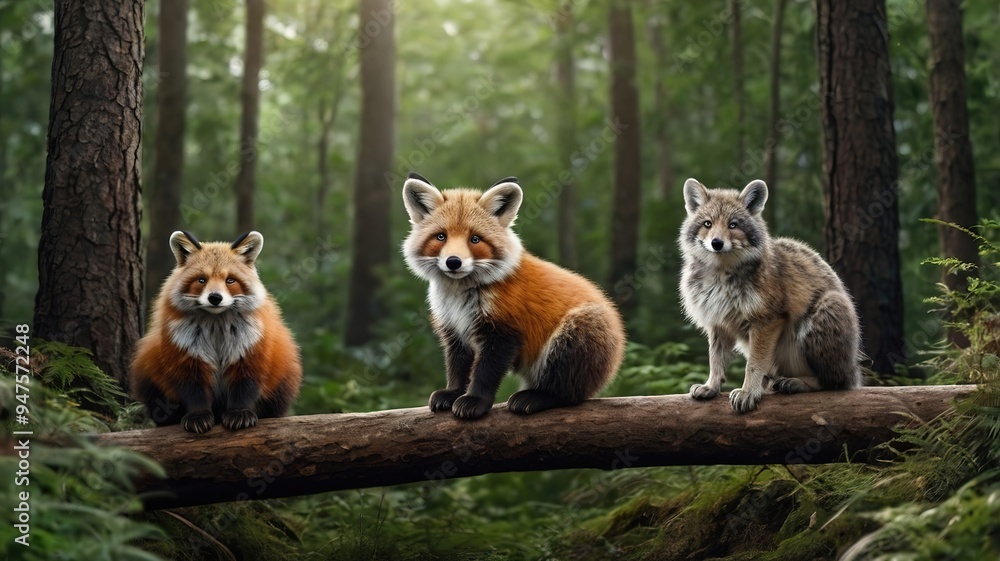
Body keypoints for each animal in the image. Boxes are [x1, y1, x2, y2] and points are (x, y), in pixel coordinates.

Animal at [129, 230, 302, 433]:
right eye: (202, 280)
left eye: (230, 280)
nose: (215, 298)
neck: (216, 330)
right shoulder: (187, 358)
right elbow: (195, 394)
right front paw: (198, 416)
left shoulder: (248, 355)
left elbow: (244, 390)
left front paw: (239, 413)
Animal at [402, 173, 626, 420]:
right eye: (441, 237)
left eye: (475, 239)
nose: (453, 262)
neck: (461, 297)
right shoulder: (455, 331)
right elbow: (458, 371)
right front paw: (452, 393)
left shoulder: (504, 333)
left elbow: (484, 374)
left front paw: (475, 401)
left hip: (571, 337)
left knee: (569, 396)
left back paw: (536, 398)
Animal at [679, 178, 862, 413]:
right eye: (708, 224)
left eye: (733, 225)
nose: (717, 243)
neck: (721, 276)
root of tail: (854, 369)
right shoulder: (719, 325)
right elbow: (715, 361)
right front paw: (711, 387)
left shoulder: (766, 321)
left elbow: (753, 365)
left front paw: (748, 393)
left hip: (825, 310)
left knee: (834, 383)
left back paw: (793, 383)